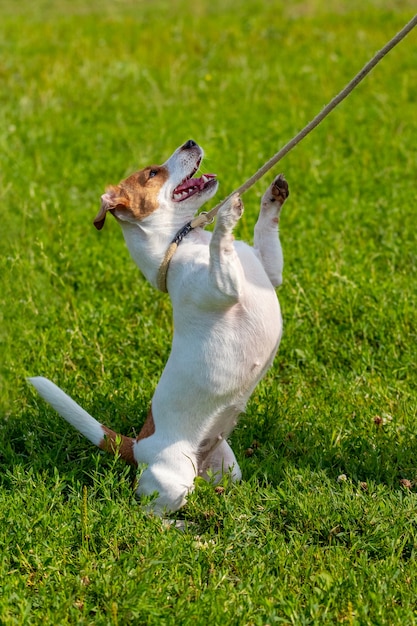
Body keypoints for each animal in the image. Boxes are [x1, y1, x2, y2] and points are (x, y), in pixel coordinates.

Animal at [29, 139, 290, 516]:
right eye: (153, 173)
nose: (190, 141)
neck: (184, 241)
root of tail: (138, 446)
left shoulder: (269, 271)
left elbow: (265, 229)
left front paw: (273, 195)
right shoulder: (223, 287)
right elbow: (221, 243)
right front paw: (227, 213)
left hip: (227, 465)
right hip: (173, 480)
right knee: (150, 513)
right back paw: (180, 525)